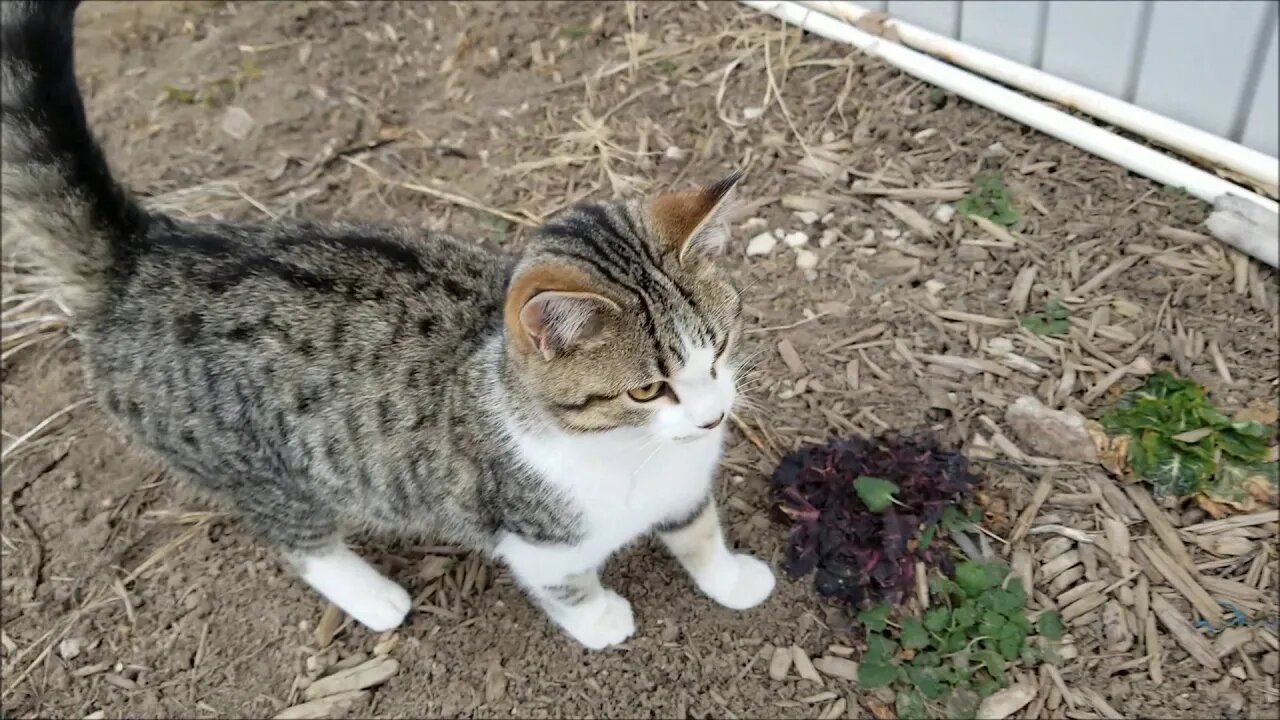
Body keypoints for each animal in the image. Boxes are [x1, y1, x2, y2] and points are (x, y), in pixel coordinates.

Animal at [0, 0, 773, 648]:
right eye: (647, 390)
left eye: (720, 348)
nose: (713, 415)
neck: (629, 451)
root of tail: (146, 255)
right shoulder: (536, 539)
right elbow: (566, 587)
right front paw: (603, 620)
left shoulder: (683, 488)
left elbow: (699, 533)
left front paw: (732, 579)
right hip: (258, 466)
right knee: (294, 535)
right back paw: (373, 597)